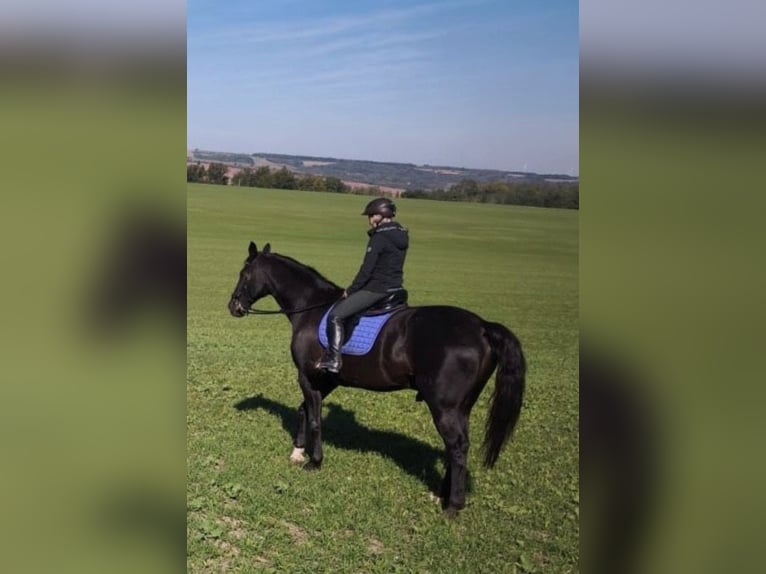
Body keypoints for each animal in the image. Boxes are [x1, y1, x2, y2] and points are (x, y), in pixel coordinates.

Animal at [228, 241, 526, 517]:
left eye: (245, 273)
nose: (233, 306)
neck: (312, 309)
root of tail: (483, 327)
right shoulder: (325, 381)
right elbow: (304, 410)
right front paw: (297, 451)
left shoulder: (307, 377)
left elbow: (314, 419)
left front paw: (314, 462)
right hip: (461, 407)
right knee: (454, 447)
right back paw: (441, 494)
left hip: (445, 407)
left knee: (457, 446)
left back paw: (452, 505)